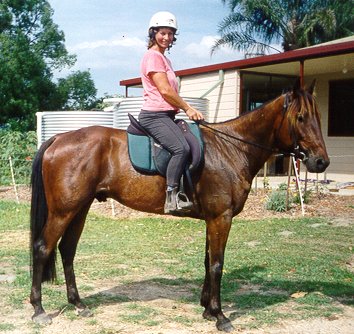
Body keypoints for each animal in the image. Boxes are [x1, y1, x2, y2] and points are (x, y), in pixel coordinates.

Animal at [29, 80, 330, 332]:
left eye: (318, 118)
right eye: (300, 118)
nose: (321, 162)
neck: (230, 149)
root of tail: (59, 138)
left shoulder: (213, 219)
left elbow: (208, 261)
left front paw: (207, 309)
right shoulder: (221, 218)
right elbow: (217, 264)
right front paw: (220, 316)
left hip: (80, 209)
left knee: (67, 251)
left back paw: (78, 304)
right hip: (64, 211)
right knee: (43, 248)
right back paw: (39, 309)